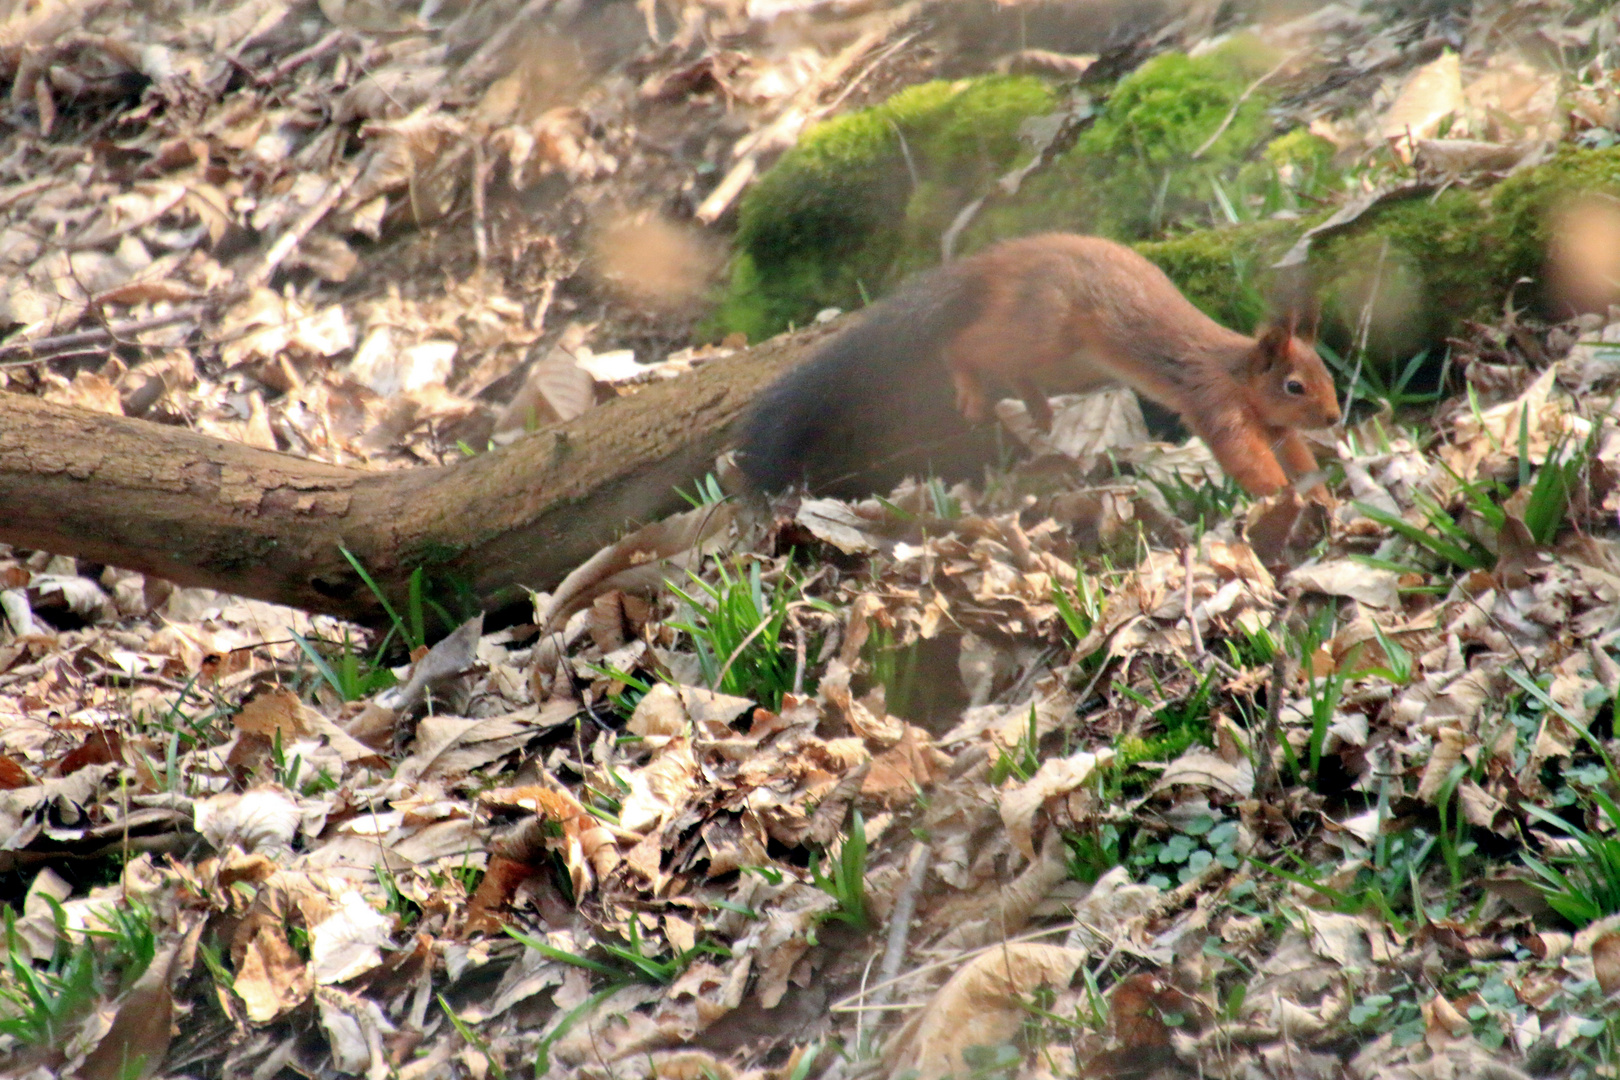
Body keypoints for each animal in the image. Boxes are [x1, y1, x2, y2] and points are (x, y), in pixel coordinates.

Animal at [738, 231, 1341, 498]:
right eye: (1293, 385)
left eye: (1328, 377)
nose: (1336, 418)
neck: (1238, 374)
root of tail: (1000, 260)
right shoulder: (1214, 402)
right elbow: (1245, 458)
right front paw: (1282, 494)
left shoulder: (1277, 428)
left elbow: (1294, 451)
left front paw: (1319, 490)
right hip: (1045, 328)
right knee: (967, 345)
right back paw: (970, 385)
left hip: (1068, 360)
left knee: (1015, 367)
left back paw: (1036, 406)